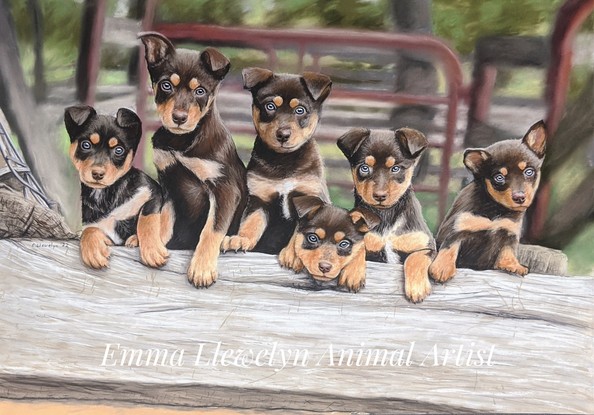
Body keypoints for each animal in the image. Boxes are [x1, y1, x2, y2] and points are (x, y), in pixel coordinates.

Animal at [65, 105, 166, 270]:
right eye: (85, 145)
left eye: (119, 150)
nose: (97, 174)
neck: (105, 195)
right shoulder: (105, 231)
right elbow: (89, 230)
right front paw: (93, 252)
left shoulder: (153, 194)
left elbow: (147, 219)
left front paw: (152, 250)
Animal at [140, 31, 246, 290]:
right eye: (166, 85)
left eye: (200, 91)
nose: (179, 118)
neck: (182, 142)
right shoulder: (170, 184)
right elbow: (165, 219)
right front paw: (155, 246)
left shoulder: (224, 189)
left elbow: (212, 229)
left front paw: (201, 268)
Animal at [220, 69, 330, 254]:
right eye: (270, 106)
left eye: (300, 110)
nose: (283, 135)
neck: (284, 160)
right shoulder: (259, 198)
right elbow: (251, 223)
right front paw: (240, 239)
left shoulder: (309, 195)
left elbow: (299, 232)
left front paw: (292, 253)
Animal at [338, 128, 434, 304]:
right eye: (364, 168)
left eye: (396, 168)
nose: (380, 196)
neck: (386, 214)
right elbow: (358, 247)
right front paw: (352, 274)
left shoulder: (426, 246)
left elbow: (416, 258)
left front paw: (417, 288)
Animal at [426, 121, 544, 282]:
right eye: (499, 177)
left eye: (529, 172)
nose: (519, 197)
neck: (494, 207)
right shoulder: (458, 228)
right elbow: (449, 247)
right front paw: (442, 268)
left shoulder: (509, 232)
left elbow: (508, 251)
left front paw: (514, 265)